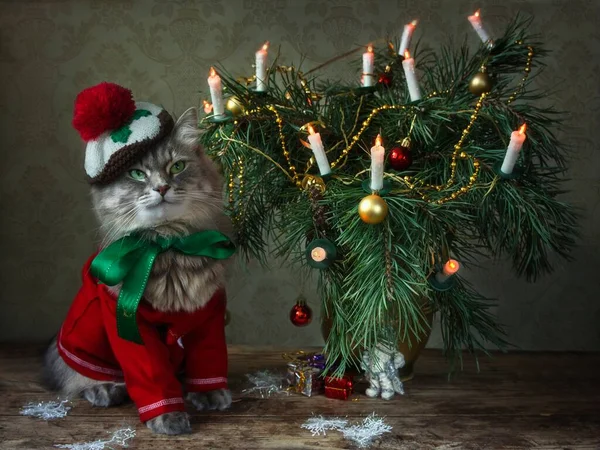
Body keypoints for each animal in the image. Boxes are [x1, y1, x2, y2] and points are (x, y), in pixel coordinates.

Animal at [42, 107, 233, 434]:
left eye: (177, 166)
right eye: (136, 174)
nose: (162, 187)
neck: (167, 245)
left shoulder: (209, 317)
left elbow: (209, 362)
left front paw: (209, 394)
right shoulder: (130, 325)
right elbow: (153, 377)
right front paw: (168, 417)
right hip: (83, 341)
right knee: (74, 377)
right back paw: (105, 388)